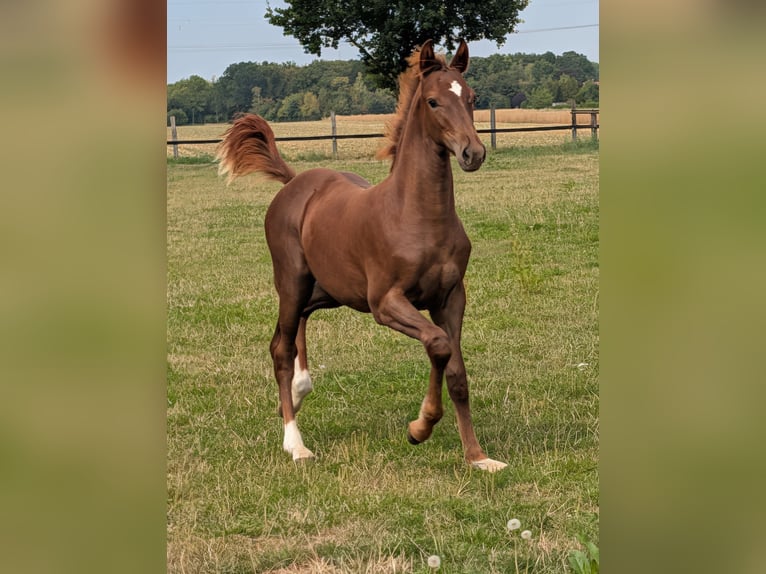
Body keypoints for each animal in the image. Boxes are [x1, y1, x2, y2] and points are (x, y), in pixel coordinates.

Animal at [216, 40, 507, 472]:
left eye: (471, 98)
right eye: (434, 101)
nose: (473, 153)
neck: (416, 215)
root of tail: (294, 183)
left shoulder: (451, 298)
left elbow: (456, 372)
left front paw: (477, 457)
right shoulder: (385, 303)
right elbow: (438, 345)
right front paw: (419, 428)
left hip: (329, 291)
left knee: (296, 327)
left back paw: (299, 392)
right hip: (292, 281)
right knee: (281, 348)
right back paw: (295, 442)